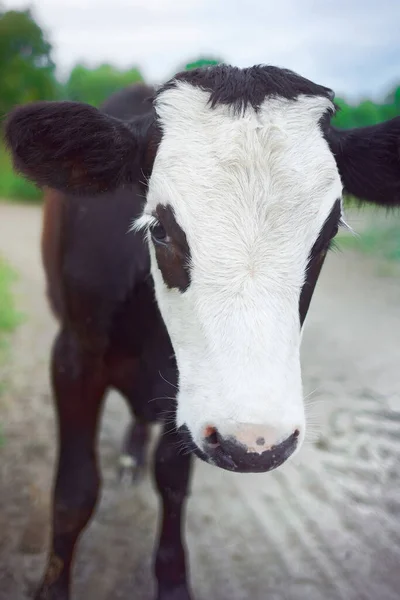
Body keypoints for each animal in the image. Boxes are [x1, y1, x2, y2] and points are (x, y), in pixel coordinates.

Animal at [3, 65, 400, 600]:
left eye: (330, 233)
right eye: (159, 228)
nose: (256, 442)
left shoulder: (187, 393)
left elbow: (172, 482)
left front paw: (172, 581)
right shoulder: (73, 356)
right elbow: (74, 492)